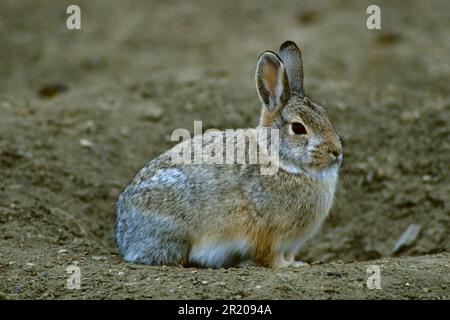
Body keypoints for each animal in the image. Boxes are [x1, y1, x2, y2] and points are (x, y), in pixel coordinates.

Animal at [115, 41, 342, 268]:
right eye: (298, 128)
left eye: (325, 114)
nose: (337, 152)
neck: (282, 162)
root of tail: (124, 236)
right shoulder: (270, 236)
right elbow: (271, 257)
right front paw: (290, 266)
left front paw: (297, 263)